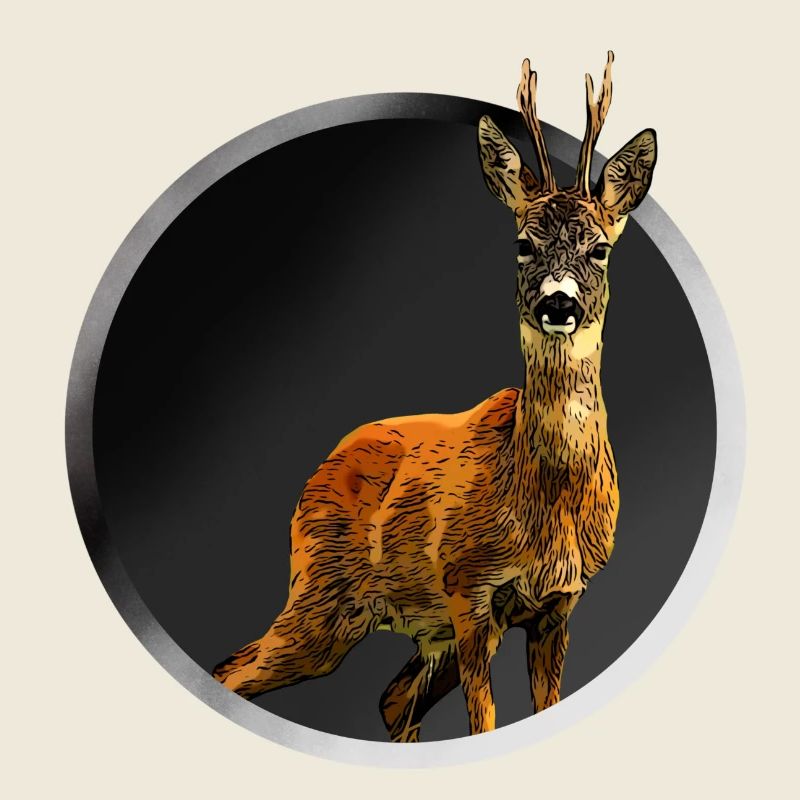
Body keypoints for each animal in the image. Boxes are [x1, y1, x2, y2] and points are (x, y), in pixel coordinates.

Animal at [212, 51, 657, 740]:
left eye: (601, 248)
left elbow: (542, 706)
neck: (542, 503)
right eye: (522, 243)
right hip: (321, 595)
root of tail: (321, 468)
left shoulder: (558, 605)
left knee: (391, 698)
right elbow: (486, 723)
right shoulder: (468, 589)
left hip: (409, 625)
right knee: (235, 670)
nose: (558, 304)